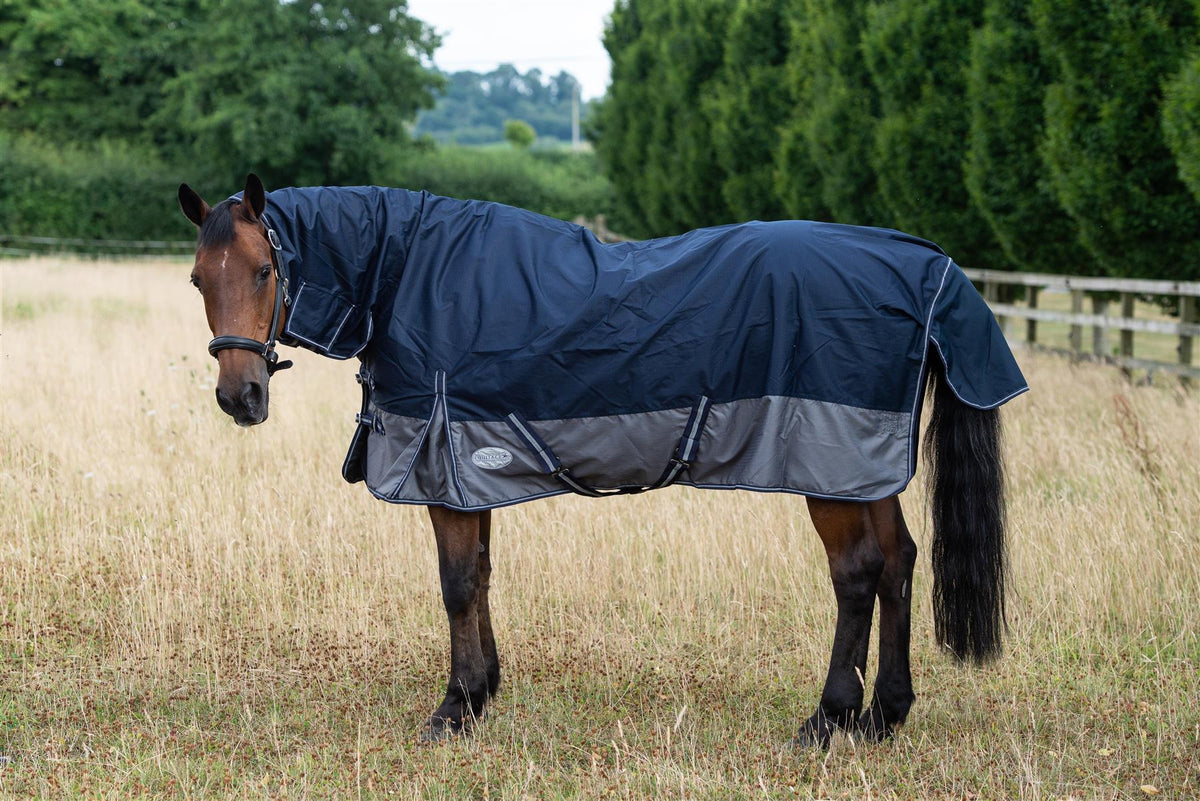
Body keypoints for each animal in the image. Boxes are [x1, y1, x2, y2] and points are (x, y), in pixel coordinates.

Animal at [178, 173, 1026, 745]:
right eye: (196, 278)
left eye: (264, 270)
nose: (239, 395)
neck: (410, 275)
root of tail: (928, 266)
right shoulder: (469, 470)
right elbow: (481, 575)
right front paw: (484, 692)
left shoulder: (442, 469)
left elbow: (455, 585)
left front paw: (453, 708)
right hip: (866, 466)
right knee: (899, 561)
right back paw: (886, 713)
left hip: (831, 467)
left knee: (856, 573)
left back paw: (827, 717)